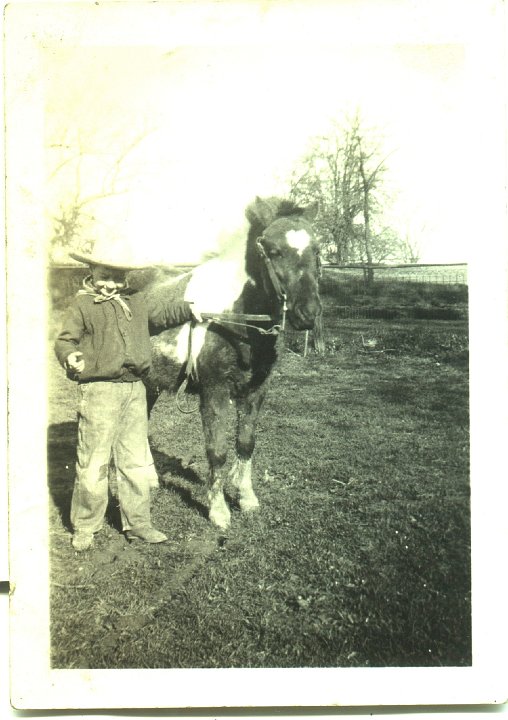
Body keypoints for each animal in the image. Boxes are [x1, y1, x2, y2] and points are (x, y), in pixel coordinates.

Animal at [141, 195, 322, 528]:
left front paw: (246, 497)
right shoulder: (214, 392)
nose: (308, 313)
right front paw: (219, 510)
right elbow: (218, 451)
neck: (235, 319)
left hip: (149, 384)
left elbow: (246, 444)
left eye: (315, 250)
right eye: (274, 251)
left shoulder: (256, 391)